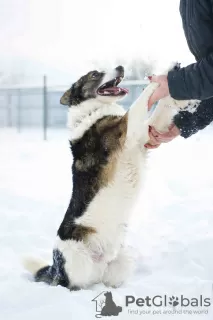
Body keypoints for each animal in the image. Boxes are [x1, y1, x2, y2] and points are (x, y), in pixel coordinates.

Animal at [23, 63, 200, 288]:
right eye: (94, 74)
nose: (120, 67)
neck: (93, 111)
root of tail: (55, 269)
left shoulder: (144, 136)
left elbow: (160, 108)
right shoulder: (128, 130)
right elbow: (143, 98)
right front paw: (165, 73)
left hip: (123, 261)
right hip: (78, 263)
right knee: (72, 285)